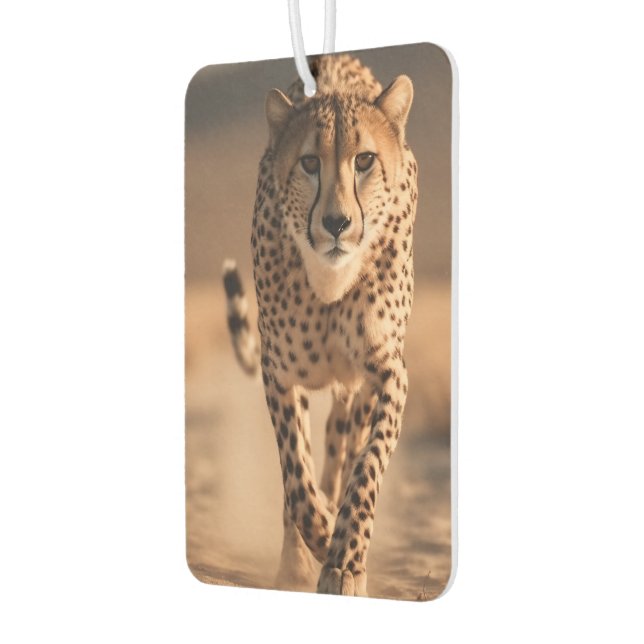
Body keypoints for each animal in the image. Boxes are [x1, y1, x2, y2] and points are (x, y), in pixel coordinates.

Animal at [222, 53, 418, 597]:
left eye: (365, 160)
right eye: (310, 163)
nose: (336, 224)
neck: (331, 282)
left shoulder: (388, 373)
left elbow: (366, 466)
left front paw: (346, 560)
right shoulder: (280, 373)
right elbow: (296, 473)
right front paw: (320, 535)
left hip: (356, 389)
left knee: (342, 444)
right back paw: (297, 559)